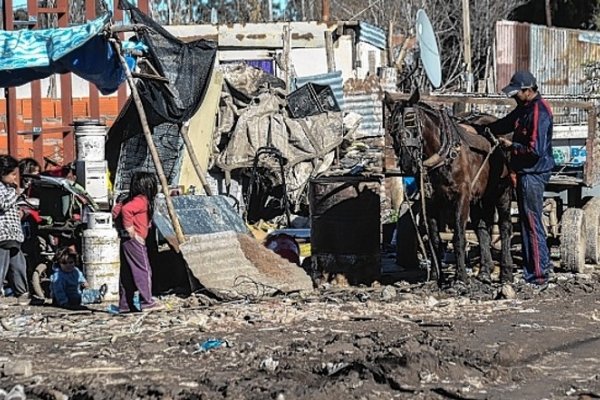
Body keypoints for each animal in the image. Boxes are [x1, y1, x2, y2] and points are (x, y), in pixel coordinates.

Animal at [386, 92, 512, 282]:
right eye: (392, 129)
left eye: (412, 123)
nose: (408, 164)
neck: (443, 155)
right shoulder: (431, 201)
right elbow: (435, 239)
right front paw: (437, 276)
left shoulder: (462, 196)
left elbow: (458, 236)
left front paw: (461, 277)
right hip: (480, 197)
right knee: (482, 227)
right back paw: (485, 270)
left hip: (502, 192)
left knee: (504, 227)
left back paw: (506, 272)